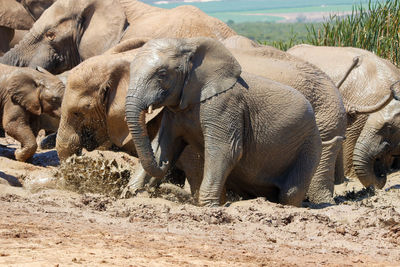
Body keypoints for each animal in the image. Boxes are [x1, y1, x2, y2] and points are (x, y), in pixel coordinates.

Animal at [123, 37, 324, 207]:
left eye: (162, 74)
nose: (165, 165)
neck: (189, 44)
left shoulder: (224, 106)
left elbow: (226, 150)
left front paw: (209, 206)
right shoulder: (174, 113)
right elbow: (163, 145)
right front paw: (132, 194)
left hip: (310, 146)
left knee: (290, 194)